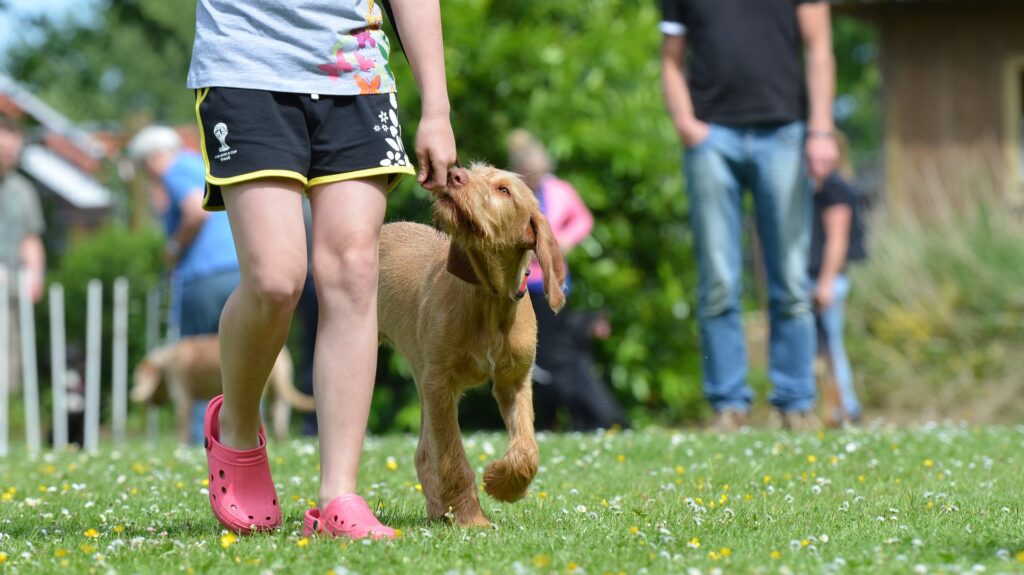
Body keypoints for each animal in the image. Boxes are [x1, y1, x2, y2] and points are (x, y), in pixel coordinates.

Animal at [132, 333, 315, 439]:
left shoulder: (182, 395)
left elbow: (182, 426)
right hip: (279, 393)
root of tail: (283, 355)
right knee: (280, 420)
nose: (148, 403)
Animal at [378, 163, 569, 527]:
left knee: (424, 453)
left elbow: (527, 450)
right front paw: (471, 518)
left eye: (504, 190)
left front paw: (502, 484)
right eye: (473, 170)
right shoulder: (441, 385)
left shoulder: (514, 381)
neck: (489, 298)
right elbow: (453, 458)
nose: (453, 174)